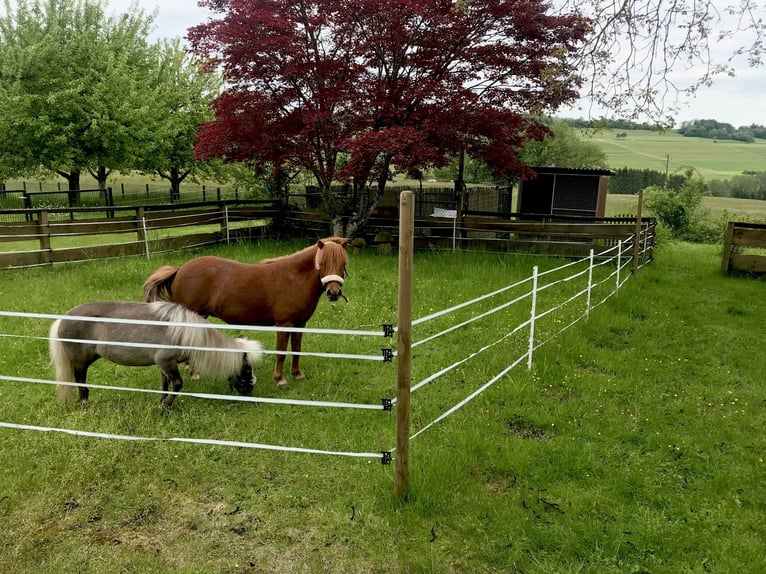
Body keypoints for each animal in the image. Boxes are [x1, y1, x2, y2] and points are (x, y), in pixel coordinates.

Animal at [144, 238, 352, 388]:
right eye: (322, 263)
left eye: (343, 264)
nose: (333, 293)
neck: (294, 277)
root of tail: (180, 269)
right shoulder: (284, 324)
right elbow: (281, 352)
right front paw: (280, 379)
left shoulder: (300, 324)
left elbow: (296, 350)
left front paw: (297, 374)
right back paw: (193, 373)